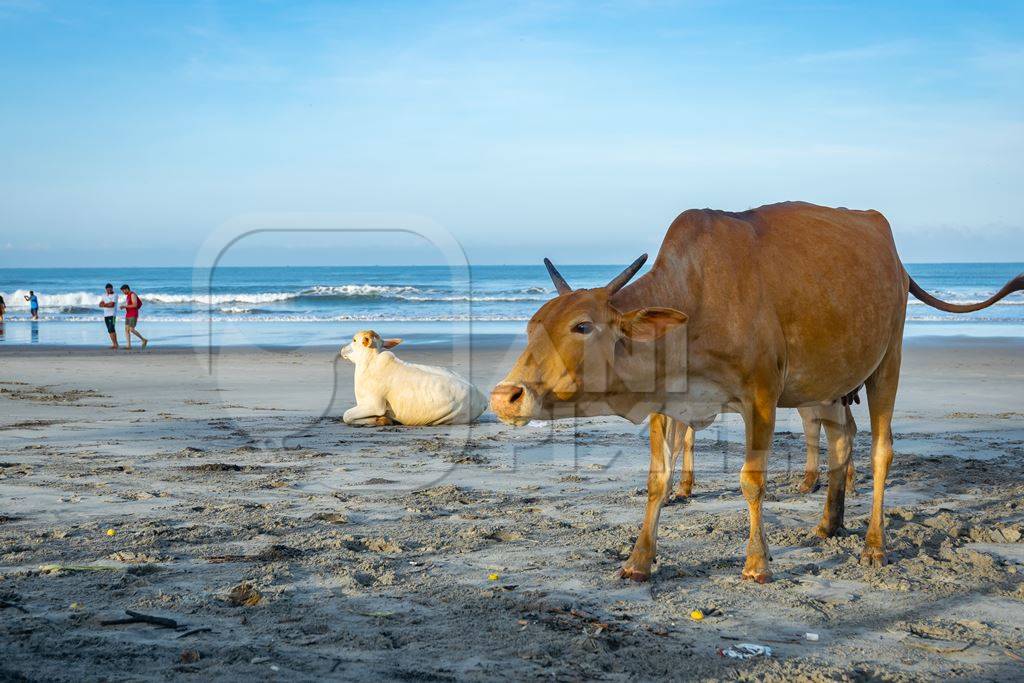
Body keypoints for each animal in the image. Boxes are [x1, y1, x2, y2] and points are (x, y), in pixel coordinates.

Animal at [339, 331, 487, 428]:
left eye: (354, 340)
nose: (342, 349)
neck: (370, 363)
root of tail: (482, 398)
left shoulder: (374, 405)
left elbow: (347, 416)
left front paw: (382, 420)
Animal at [491, 201, 1019, 581]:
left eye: (582, 325)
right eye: (532, 326)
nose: (504, 396)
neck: (694, 304)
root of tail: (891, 252)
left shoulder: (761, 394)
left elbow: (751, 480)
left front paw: (757, 564)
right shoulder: (667, 401)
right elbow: (658, 481)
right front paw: (639, 561)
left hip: (887, 360)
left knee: (881, 449)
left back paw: (873, 545)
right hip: (827, 382)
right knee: (841, 437)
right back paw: (829, 523)